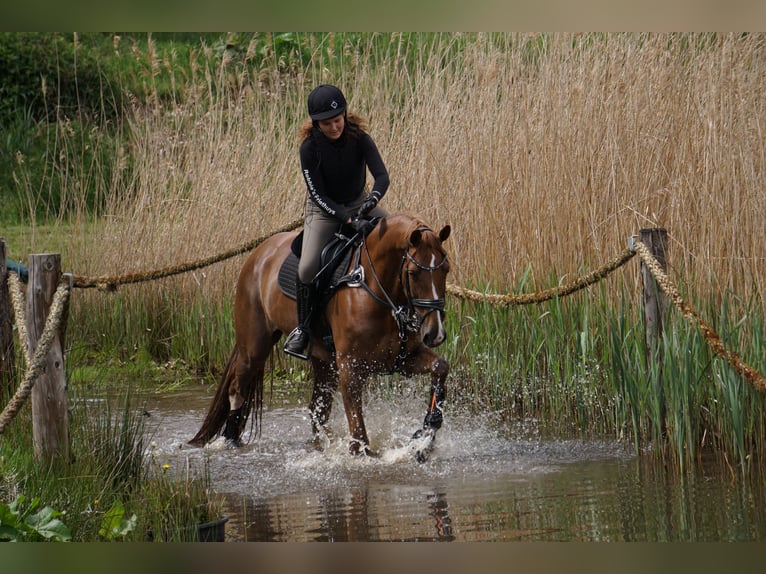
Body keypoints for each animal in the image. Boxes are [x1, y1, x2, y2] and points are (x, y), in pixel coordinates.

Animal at [191, 213, 452, 464]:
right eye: (414, 273)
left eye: (446, 269)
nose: (435, 334)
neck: (376, 289)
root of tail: (258, 253)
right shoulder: (350, 368)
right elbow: (358, 430)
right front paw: (361, 455)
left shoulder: (402, 358)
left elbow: (440, 367)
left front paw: (425, 437)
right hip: (254, 345)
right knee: (238, 387)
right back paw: (230, 441)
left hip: (324, 363)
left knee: (318, 409)